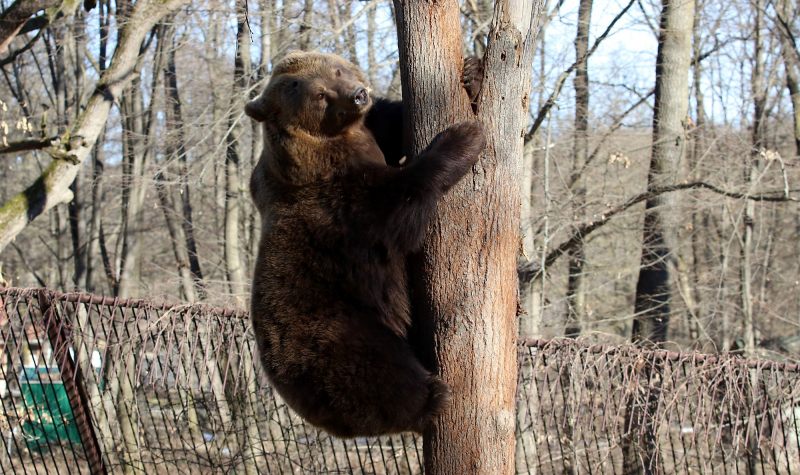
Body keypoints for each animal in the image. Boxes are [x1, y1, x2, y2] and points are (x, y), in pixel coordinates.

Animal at [245, 52, 482, 438]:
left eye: (337, 70)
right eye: (320, 95)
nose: (357, 94)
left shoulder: (373, 132)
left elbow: (394, 123)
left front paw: (472, 74)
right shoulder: (341, 202)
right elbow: (400, 201)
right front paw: (463, 138)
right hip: (337, 324)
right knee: (376, 371)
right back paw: (431, 398)